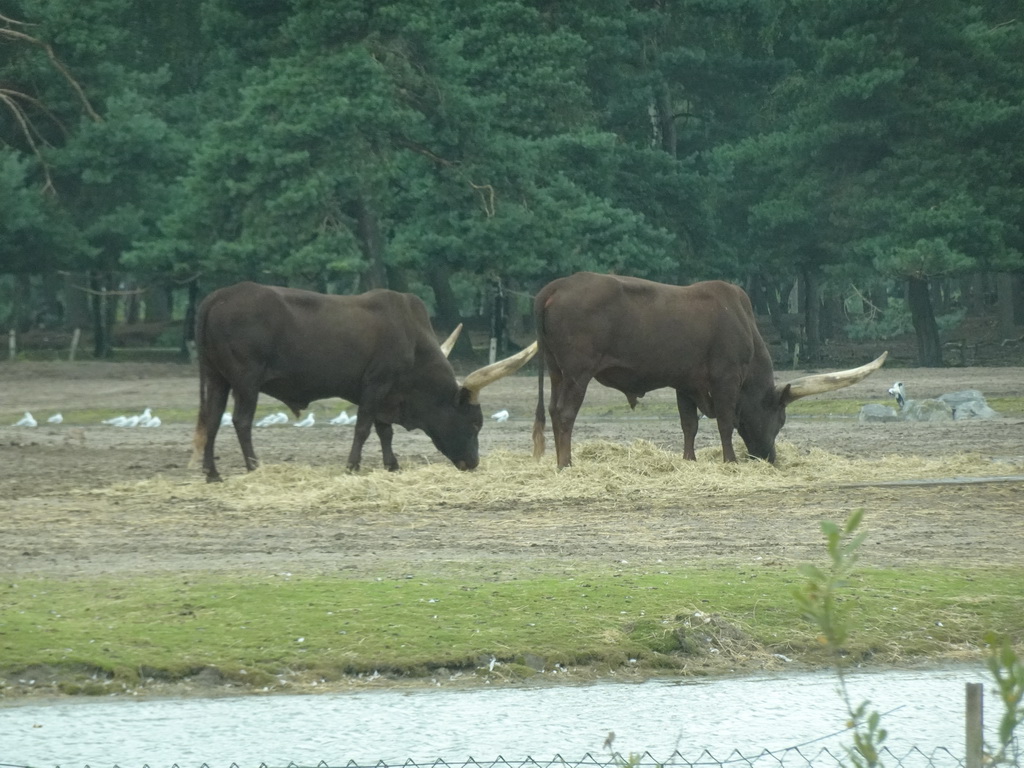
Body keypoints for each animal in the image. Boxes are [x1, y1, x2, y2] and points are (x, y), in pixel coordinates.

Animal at [194, 282, 540, 483]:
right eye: (474, 423)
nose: (473, 462)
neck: (412, 342)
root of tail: (215, 297)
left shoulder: (384, 396)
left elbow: (383, 430)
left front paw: (392, 465)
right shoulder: (375, 386)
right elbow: (363, 428)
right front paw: (352, 467)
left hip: (217, 378)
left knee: (212, 419)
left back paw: (212, 473)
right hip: (245, 380)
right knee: (241, 421)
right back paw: (253, 468)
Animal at [532, 274, 884, 468]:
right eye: (780, 419)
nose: (768, 458)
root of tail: (555, 287)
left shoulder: (685, 383)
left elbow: (689, 424)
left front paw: (690, 460)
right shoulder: (725, 378)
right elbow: (726, 422)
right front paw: (730, 460)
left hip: (556, 370)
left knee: (552, 409)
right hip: (578, 373)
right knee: (565, 413)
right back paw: (566, 463)